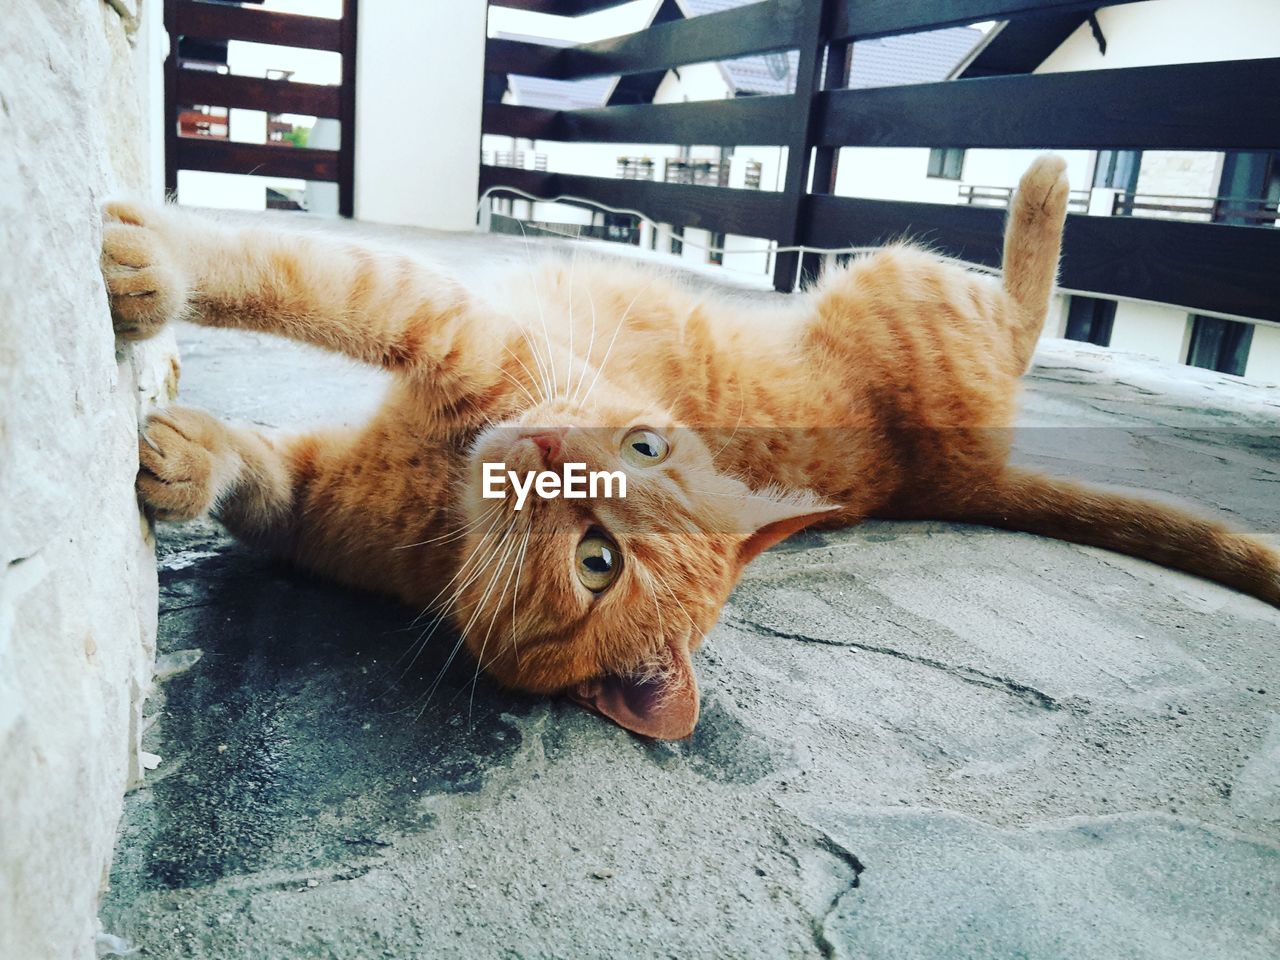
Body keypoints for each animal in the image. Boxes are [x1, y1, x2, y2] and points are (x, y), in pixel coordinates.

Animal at [102, 160, 1280, 742]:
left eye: (596, 563)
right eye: (642, 440)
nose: (541, 442)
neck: (440, 506)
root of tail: (952, 480)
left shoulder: (424, 345)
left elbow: (301, 278)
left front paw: (155, 268)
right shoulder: (350, 460)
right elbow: (263, 431)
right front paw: (187, 449)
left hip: (907, 272)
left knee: (1036, 309)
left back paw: (1043, 178)